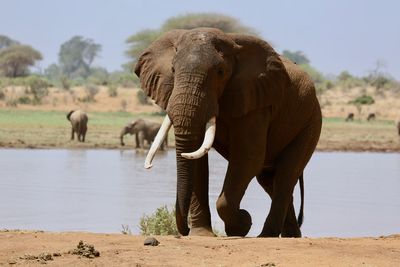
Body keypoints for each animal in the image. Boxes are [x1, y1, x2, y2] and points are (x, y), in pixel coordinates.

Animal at [134, 28, 322, 239]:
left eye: (220, 72)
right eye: (173, 70)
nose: (185, 230)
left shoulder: (255, 102)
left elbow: (248, 156)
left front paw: (242, 225)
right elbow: (197, 159)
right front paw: (202, 234)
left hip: (311, 122)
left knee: (286, 174)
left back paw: (267, 235)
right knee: (269, 180)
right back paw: (291, 235)